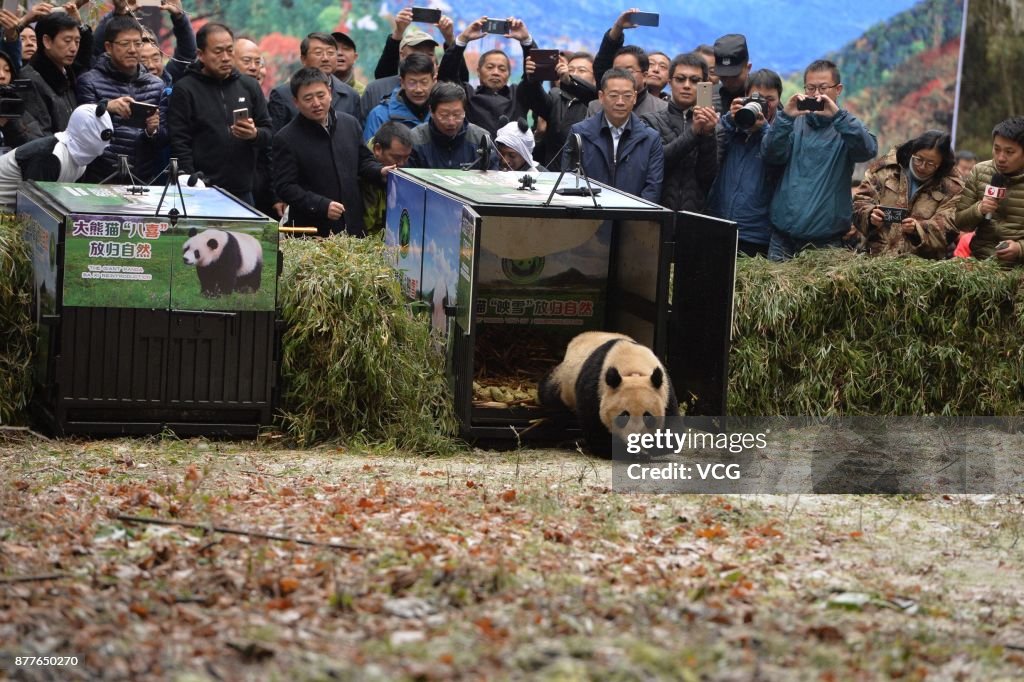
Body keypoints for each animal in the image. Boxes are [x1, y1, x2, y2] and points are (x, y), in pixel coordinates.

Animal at [538, 332, 679, 458]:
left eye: (647, 416)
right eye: (624, 415)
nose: (635, 440)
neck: (633, 369)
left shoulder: (666, 390)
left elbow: (672, 434)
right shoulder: (595, 387)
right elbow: (596, 428)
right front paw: (625, 452)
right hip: (563, 381)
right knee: (551, 397)